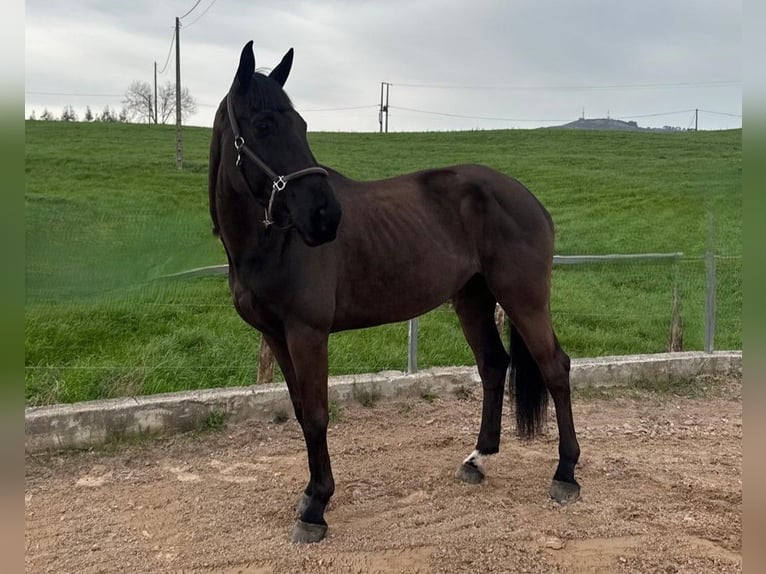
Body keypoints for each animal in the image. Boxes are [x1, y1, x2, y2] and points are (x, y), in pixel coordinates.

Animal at [208, 41, 581, 543]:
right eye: (264, 125)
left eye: (301, 124)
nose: (326, 216)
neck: (272, 241)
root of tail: (529, 199)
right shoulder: (275, 335)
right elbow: (301, 411)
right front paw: (308, 494)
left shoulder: (307, 333)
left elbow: (318, 414)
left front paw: (316, 508)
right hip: (472, 299)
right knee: (492, 365)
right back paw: (478, 459)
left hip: (523, 298)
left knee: (554, 367)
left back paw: (566, 473)